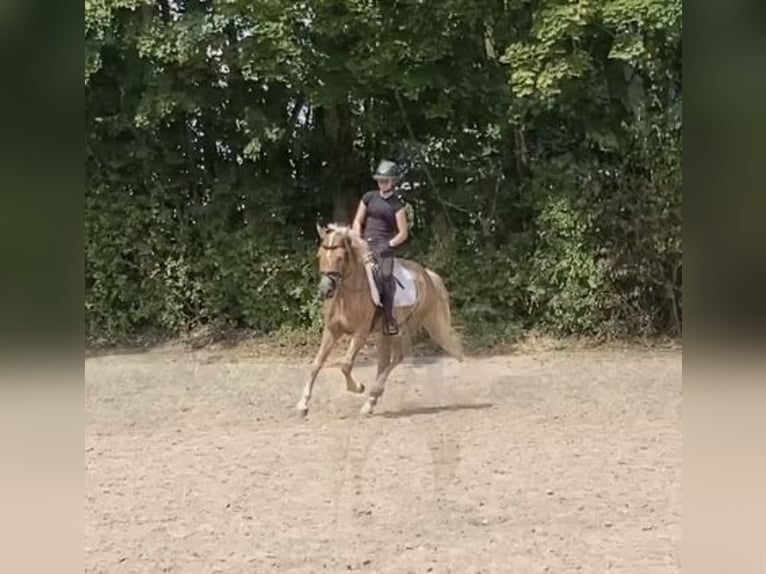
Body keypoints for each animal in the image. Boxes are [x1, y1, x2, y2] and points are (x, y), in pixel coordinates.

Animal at [296, 223, 464, 416]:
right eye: (319, 256)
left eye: (340, 257)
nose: (325, 290)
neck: (349, 293)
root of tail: (427, 274)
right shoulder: (332, 330)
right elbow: (316, 364)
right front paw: (303, 404)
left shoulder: (361, 333)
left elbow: (345, 365)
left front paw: (358, 387)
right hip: (385, 332)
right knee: (385, 361)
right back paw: (371, 401)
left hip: (408, 326)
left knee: (398, 356)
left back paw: (374, 392)